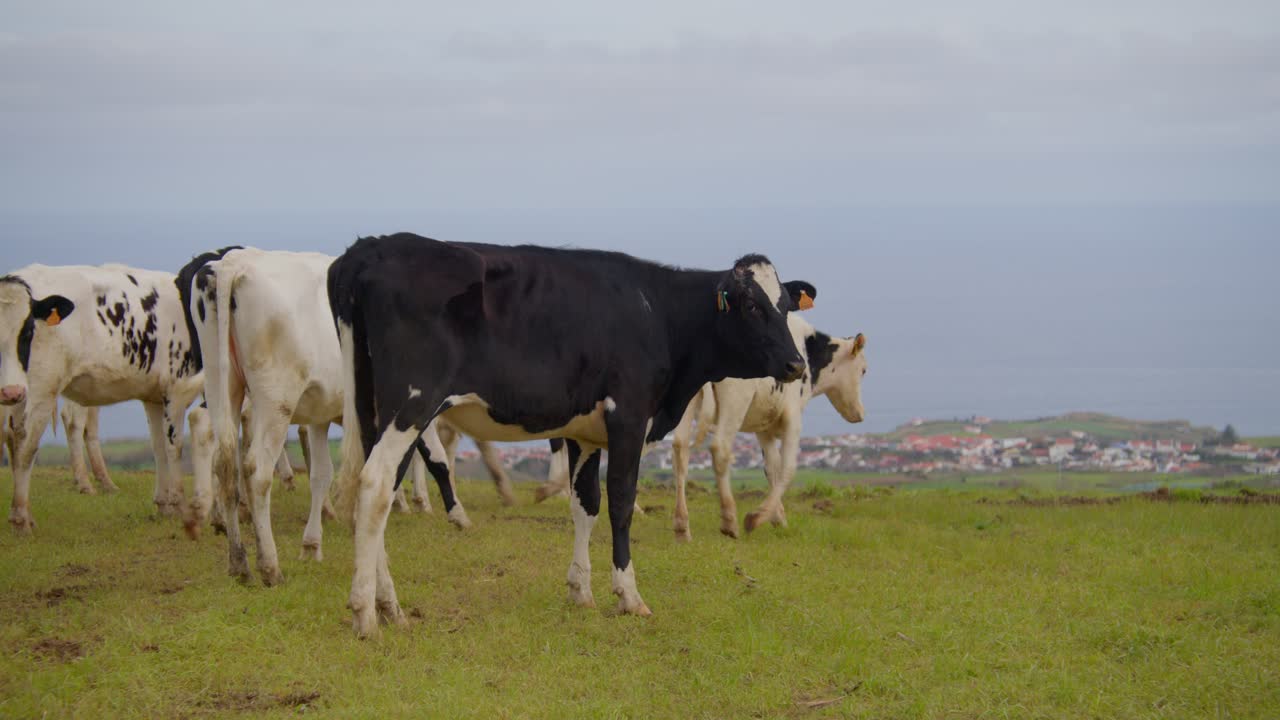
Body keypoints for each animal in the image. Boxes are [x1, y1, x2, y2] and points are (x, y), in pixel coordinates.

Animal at [1, 264, 205, 532]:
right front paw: (180, 504)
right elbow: (175, 445)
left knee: (14, 436)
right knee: (28, 444)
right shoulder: (177, 388)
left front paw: (164, 505)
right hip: (40, 389)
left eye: (26, 331)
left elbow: (158, 446)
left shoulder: (154, 397)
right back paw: (22, 518)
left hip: (21, 392)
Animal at [327, 233, 811, 638]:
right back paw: (366, 614)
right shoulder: (628, 416)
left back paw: (388, 605)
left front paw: (581, 591)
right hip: (412, 404)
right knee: (375, 484)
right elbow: (620, 503)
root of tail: (372, 246)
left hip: (376, 410)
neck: (658, 313)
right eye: (751, 306)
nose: (795, 364)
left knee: (378, 489)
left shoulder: (584, 433)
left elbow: (586, 505)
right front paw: (628, 595)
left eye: (787, 306)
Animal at [671, 321, 867, 540]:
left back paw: (682, 527)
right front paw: (757, 517)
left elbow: (771, 468)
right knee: (720, 448)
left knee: (680, 448)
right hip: (735, 401)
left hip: (685, 402)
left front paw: (778, 518)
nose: (860, 414)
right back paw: (729, 521)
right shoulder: (793, 418)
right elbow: (788, 468)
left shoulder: (764, 428)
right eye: (863, 370)